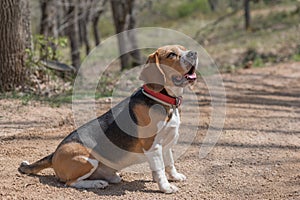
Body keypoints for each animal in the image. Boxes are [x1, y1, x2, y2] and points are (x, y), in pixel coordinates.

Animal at [18, 44, 197, 193]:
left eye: (183, 48)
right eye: (171, 54)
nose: (194, 53)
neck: (162, 99)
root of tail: (54, 153)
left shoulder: (166, 144)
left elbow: (169, 163)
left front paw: (174, 177)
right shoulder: (153, 146)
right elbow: (160, 170)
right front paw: (166, 187)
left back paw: (110, 177)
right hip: (87, 160)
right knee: (70, 182)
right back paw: (97, 183)